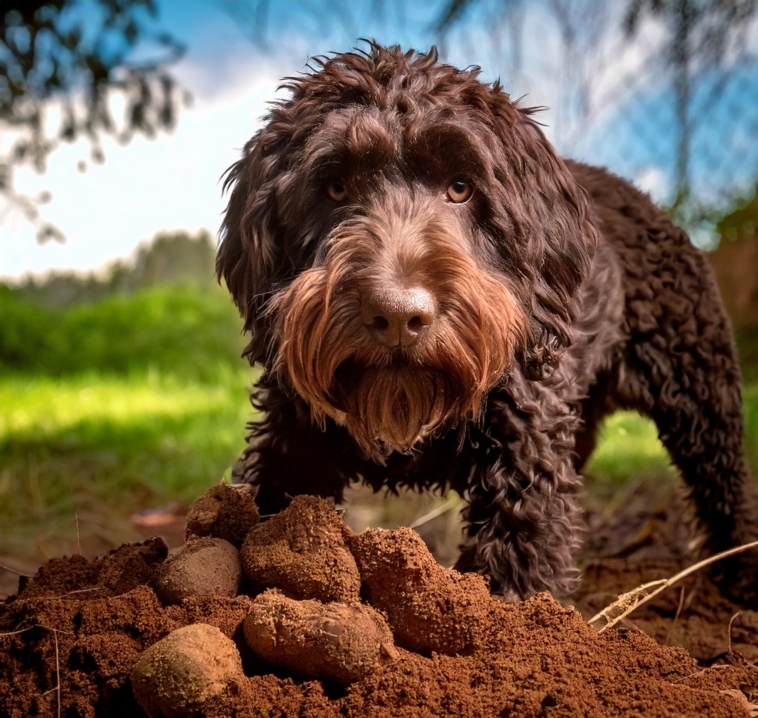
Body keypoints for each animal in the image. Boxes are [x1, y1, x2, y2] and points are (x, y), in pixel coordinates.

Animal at [220, 45, 758, 604]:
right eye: (336, 186)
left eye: (461, 187)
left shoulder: (523, 474)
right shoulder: (294, 441)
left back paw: (738, 569)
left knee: (726, 485)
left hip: (700, 393)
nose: (398, 316)